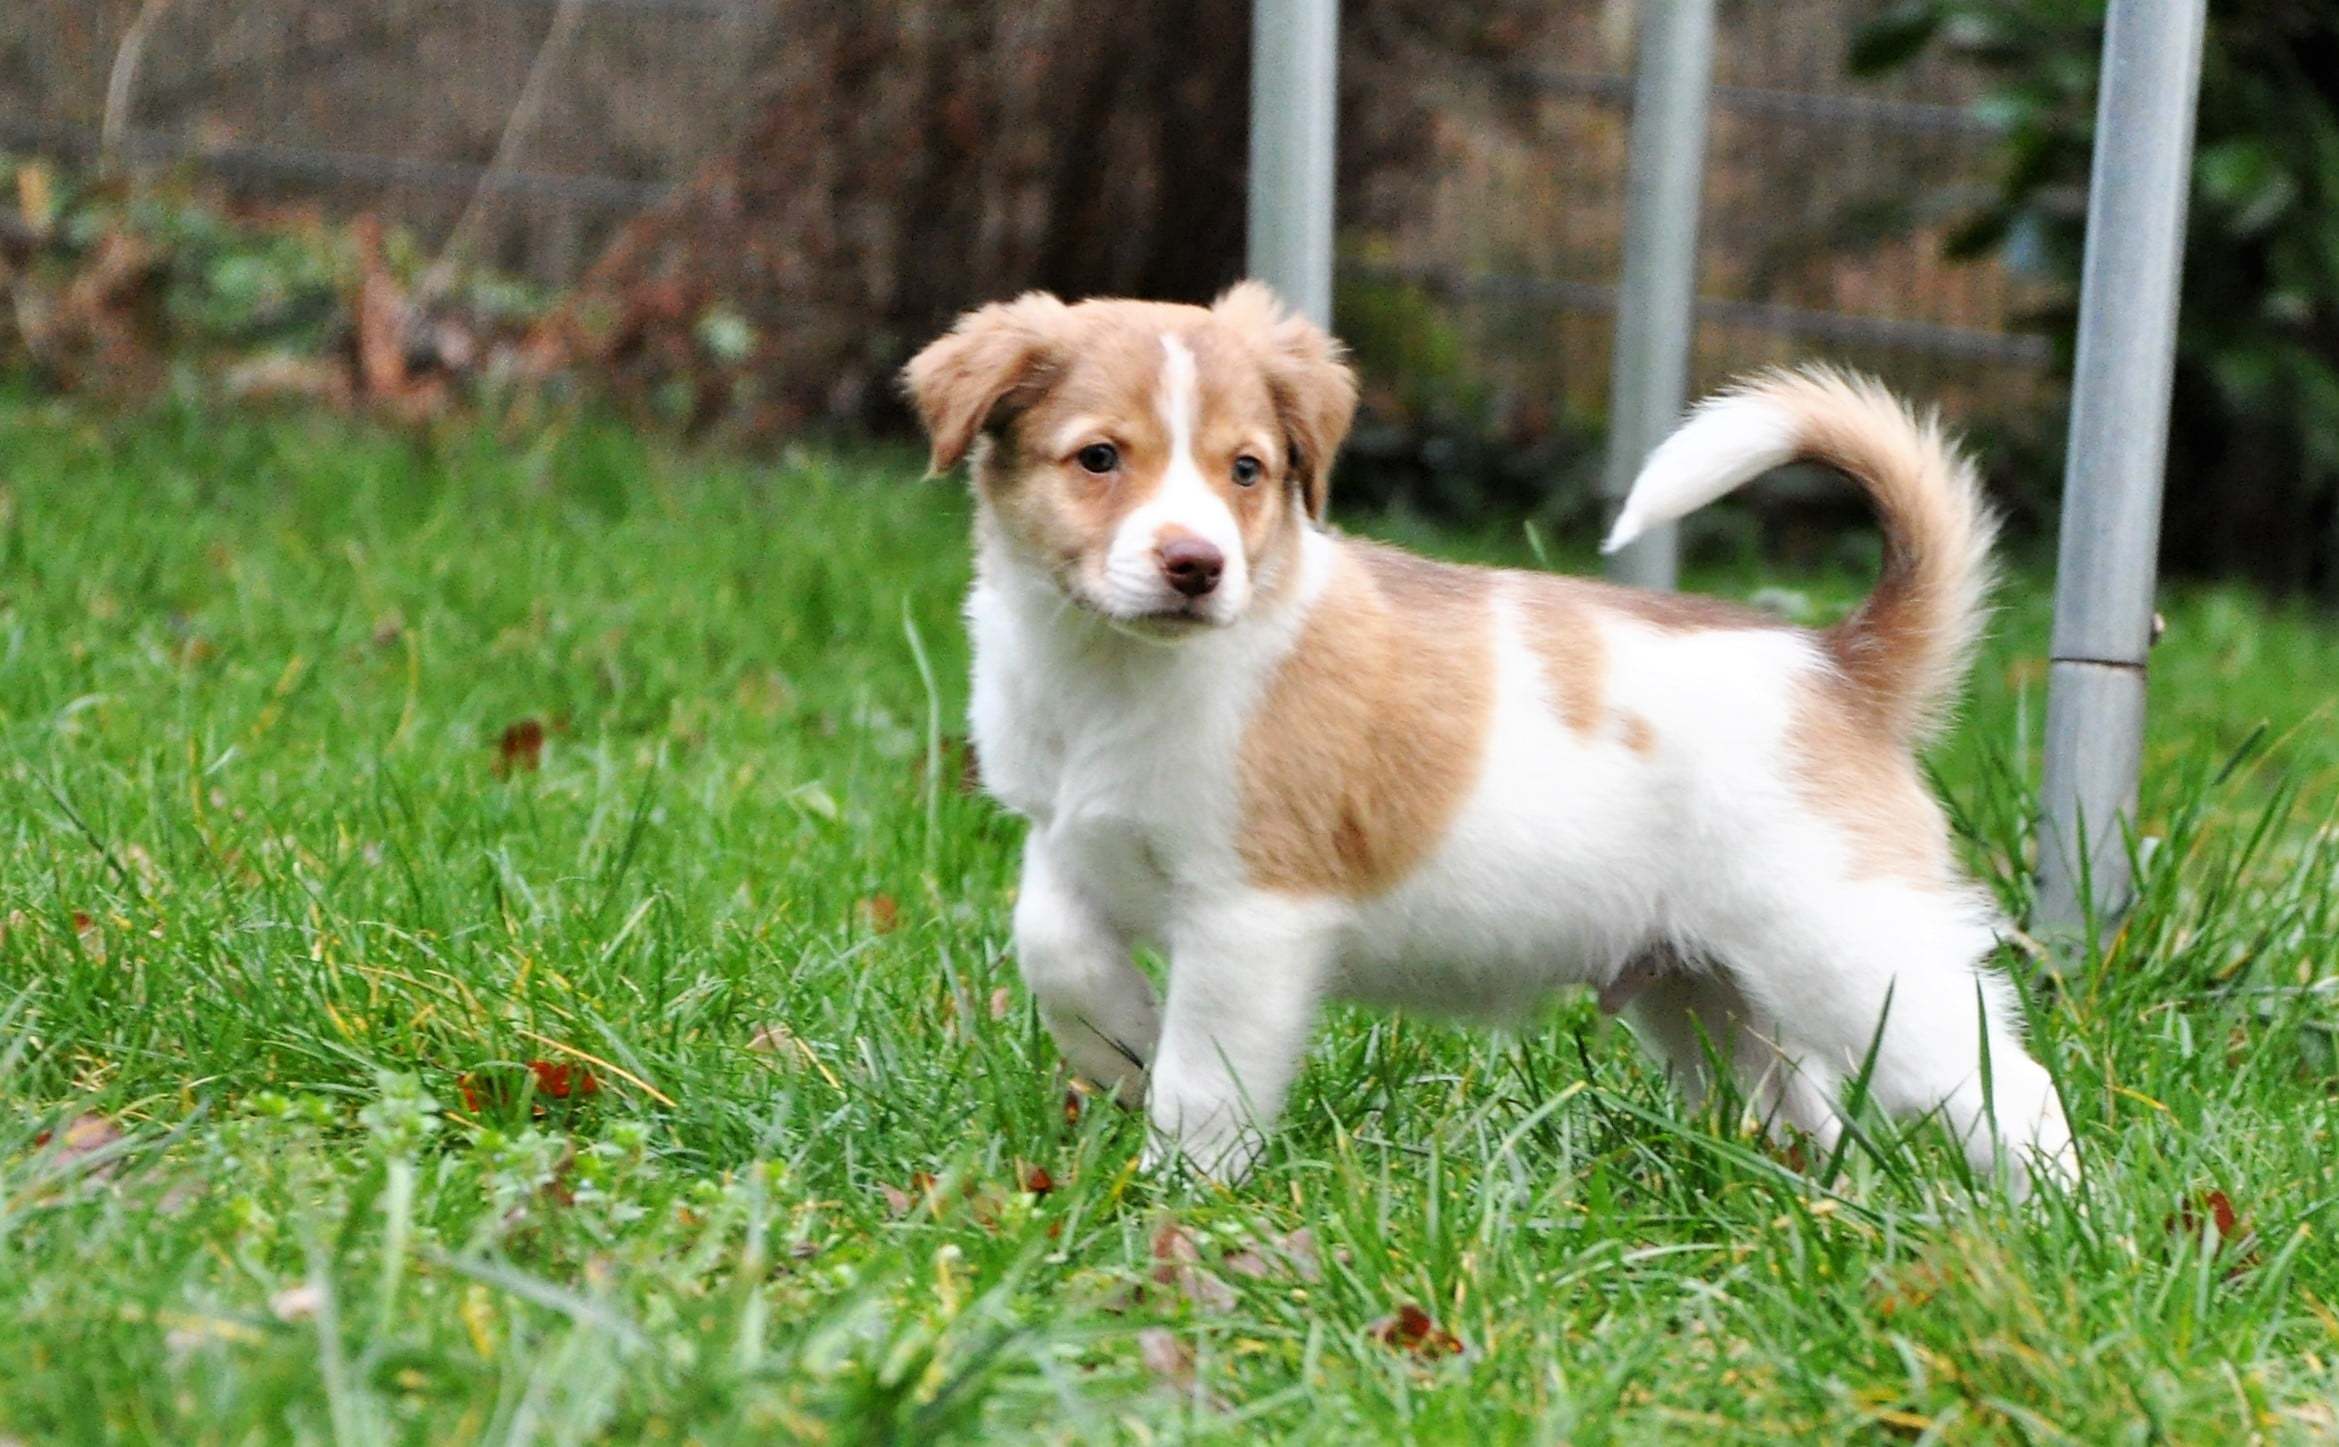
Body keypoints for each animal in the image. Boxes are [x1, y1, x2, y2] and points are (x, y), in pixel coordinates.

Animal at [903, 282, 2076, 1195]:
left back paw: (2056, 1225)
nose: (1197, 566)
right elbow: (1054, 943)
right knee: (1807, 1114)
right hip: (1705, 993)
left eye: (1246, 471)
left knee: (2008, 1087)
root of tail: (1840, 664)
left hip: (1854, 955)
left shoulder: (1251, 919)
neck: (1112, 671)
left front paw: (1178, 1199)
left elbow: (1205, 1083)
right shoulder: (1067, 835)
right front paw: (1118, 1048)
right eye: (1098, 458)